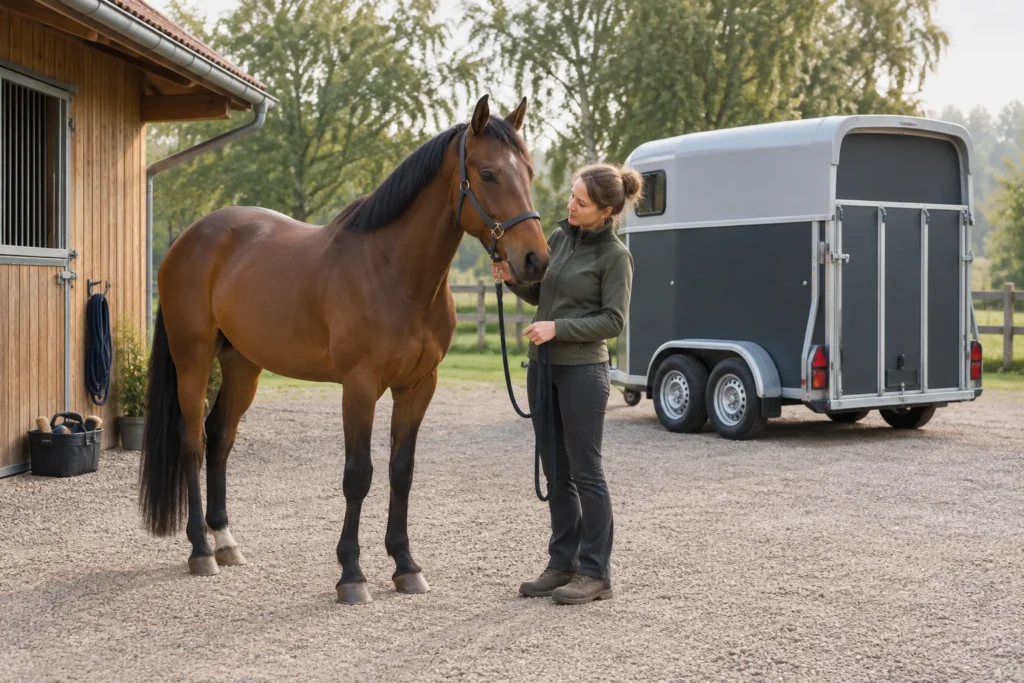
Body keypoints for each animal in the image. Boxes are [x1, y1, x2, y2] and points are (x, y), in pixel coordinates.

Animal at [138, 95, 551, 605]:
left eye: (529, 172)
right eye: (489, 173)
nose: (535, 261)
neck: (393, 272)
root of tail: (187, 239)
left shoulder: (419, 386)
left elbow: (401, 470)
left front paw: (405, 565)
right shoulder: (359, 386)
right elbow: (358, 475)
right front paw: (351, 574)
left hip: (242, 366)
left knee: (220, 436)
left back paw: (226, 541)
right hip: (192, 359)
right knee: (192, 441)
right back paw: (200, 550)